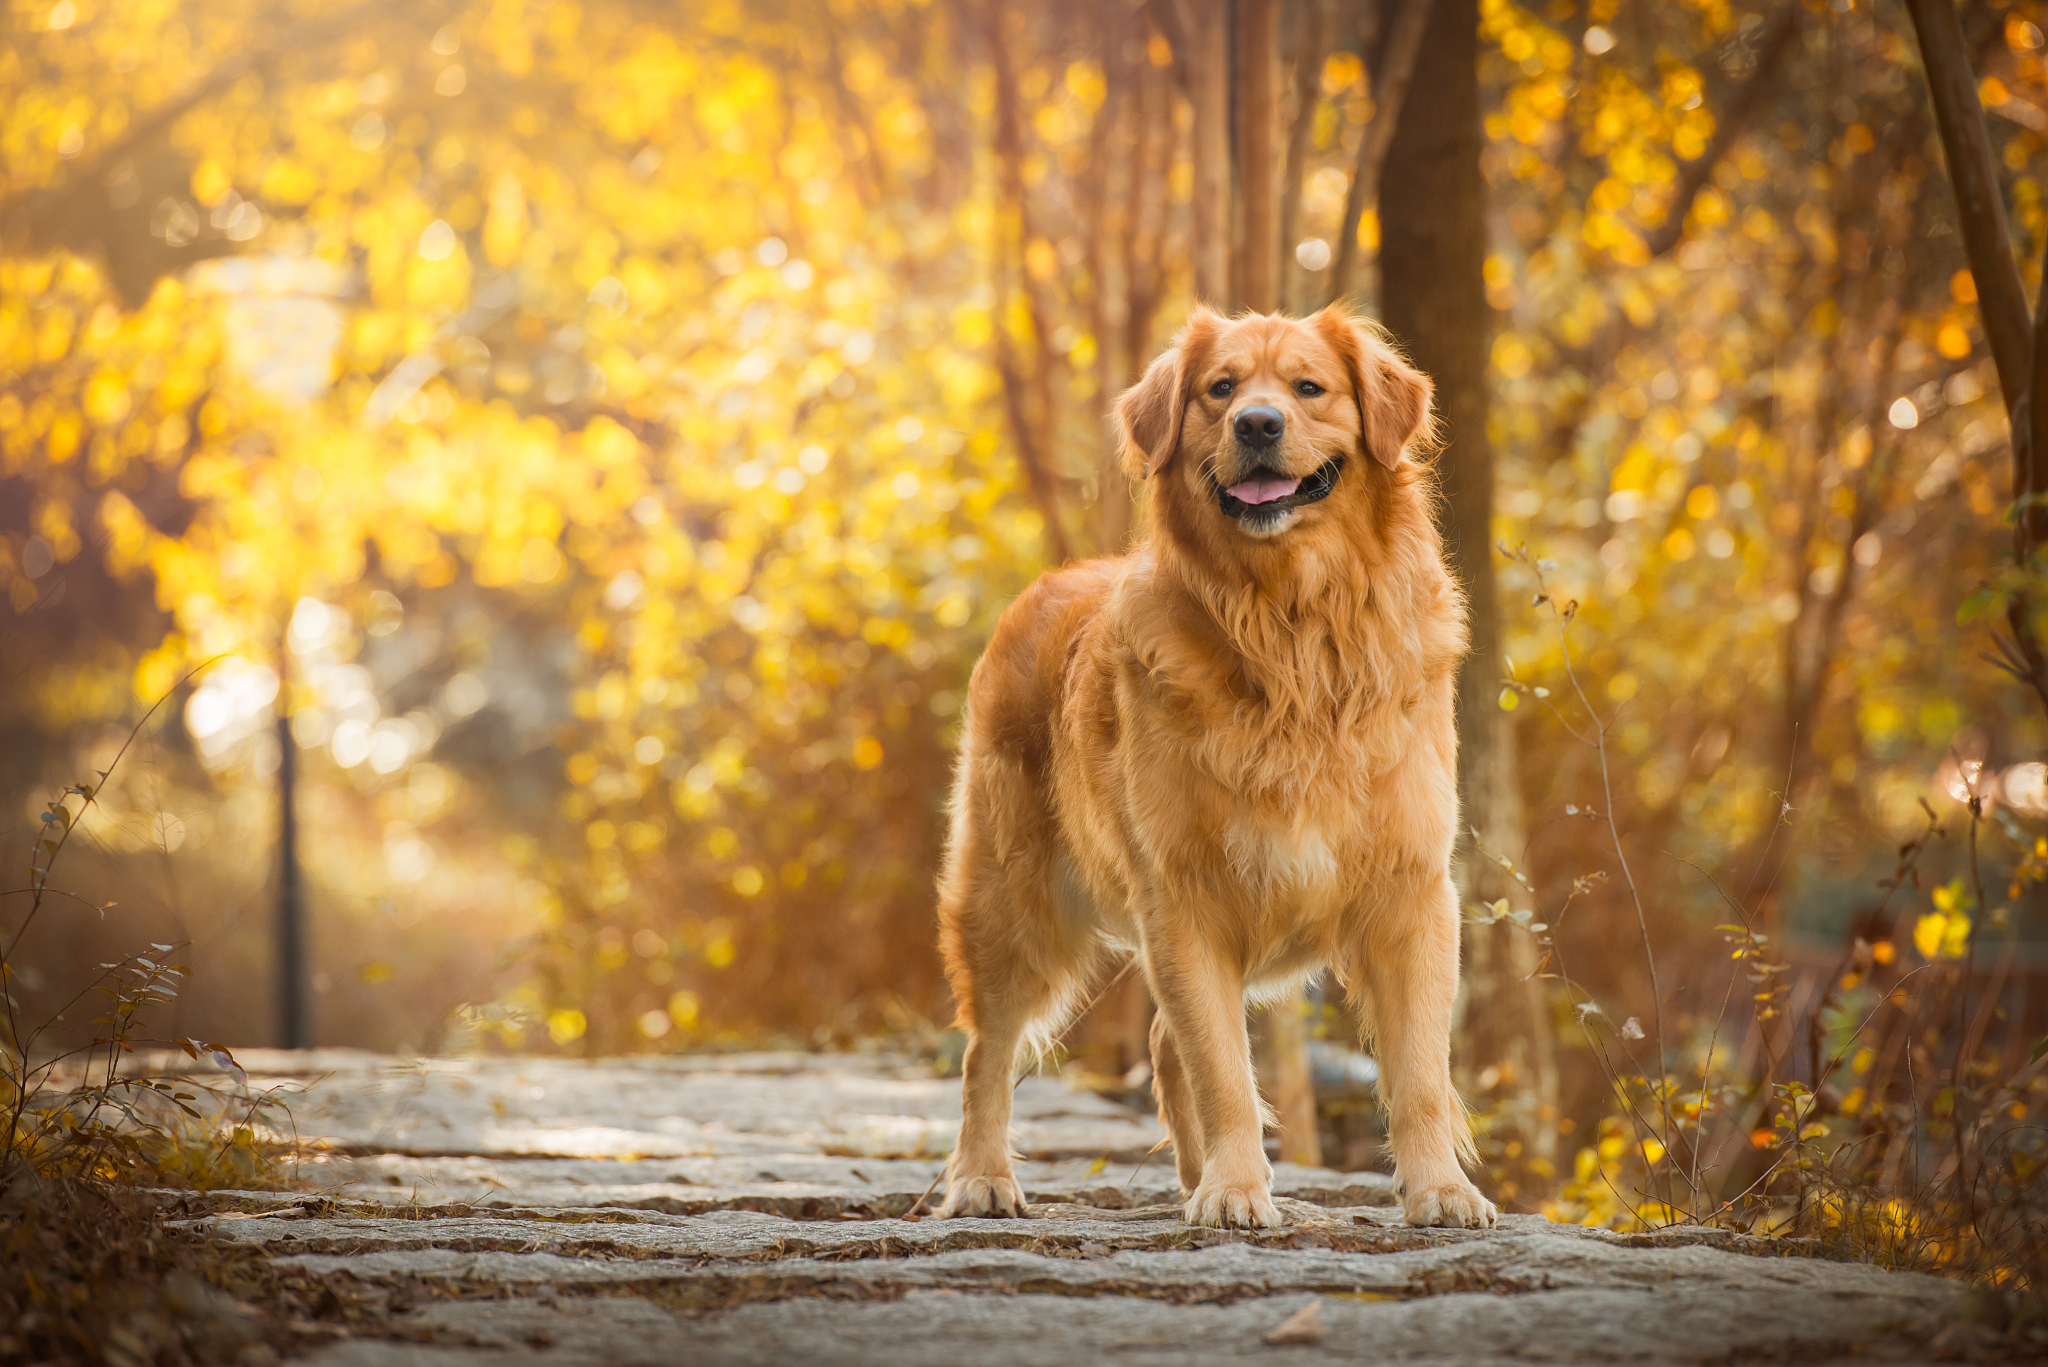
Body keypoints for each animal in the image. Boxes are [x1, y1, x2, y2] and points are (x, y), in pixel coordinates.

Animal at [937, 307, 1499, 1229]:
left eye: (1308, 387)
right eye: (1220, 389)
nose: (1258, 425)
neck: (1290, 626)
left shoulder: (1412, 891)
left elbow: (1420, 1069)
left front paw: (1441, 1189)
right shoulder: (1184, 896)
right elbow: (1223, 1069)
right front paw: (1236, 1188)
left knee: (1162, 1042)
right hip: (1011, 902)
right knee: (989, 1048)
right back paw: (983, 1176)